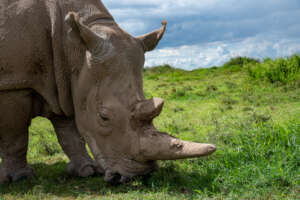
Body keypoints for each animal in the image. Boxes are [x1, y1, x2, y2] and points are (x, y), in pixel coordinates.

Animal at [0, 0, 216, 184]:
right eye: (103, 117)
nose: (138, 175)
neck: (72, 48)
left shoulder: (64, 85)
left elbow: (70, 132)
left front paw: (87, 171)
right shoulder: (14, 84)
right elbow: (16, 136)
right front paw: (20, 178)